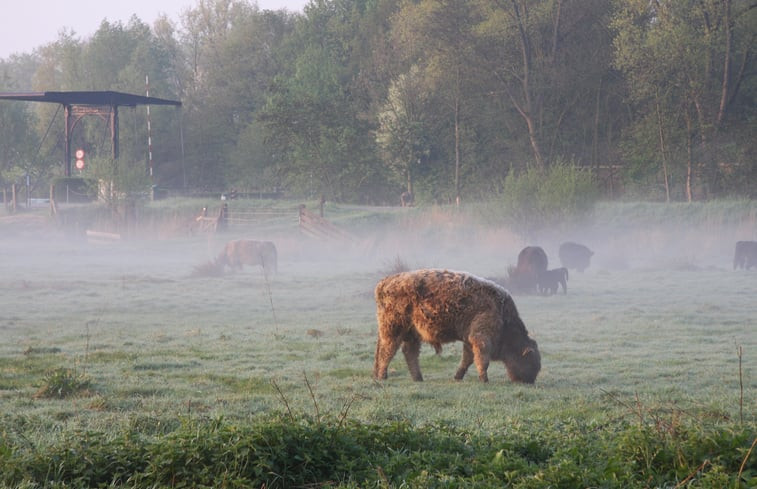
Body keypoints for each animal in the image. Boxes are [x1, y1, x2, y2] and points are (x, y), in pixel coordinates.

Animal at [370, 268, 536, 384]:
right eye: (530, 360)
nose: (531, 380)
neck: (501, 311)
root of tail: (384, 282)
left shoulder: (469, 340)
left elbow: (467, 359)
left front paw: (458, 376)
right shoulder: (481, 338)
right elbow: (482, 359)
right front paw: (484, 379)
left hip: (411, 333)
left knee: (408, 352)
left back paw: (417, 378)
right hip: (393, 330)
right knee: (387, 351)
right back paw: (383, 375)